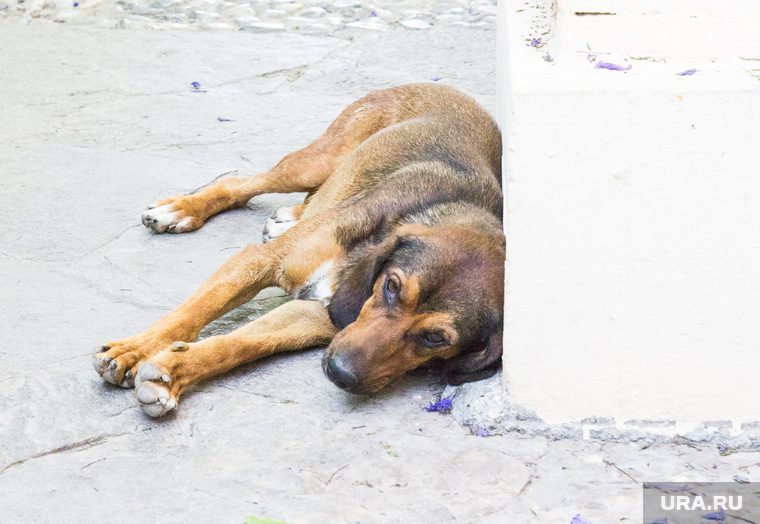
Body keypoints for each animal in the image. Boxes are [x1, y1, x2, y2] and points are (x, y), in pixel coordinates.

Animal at [90, 83, 504, 418]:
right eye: (392, 287)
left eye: (437, 339)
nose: (339, 373)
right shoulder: (260, 262)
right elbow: (189, 315)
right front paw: (133, 351)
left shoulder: (320, 319)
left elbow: (239, 344)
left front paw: (174, 372)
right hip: (316, 160)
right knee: (244, 182)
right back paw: (181, 209)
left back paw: (287, 217)